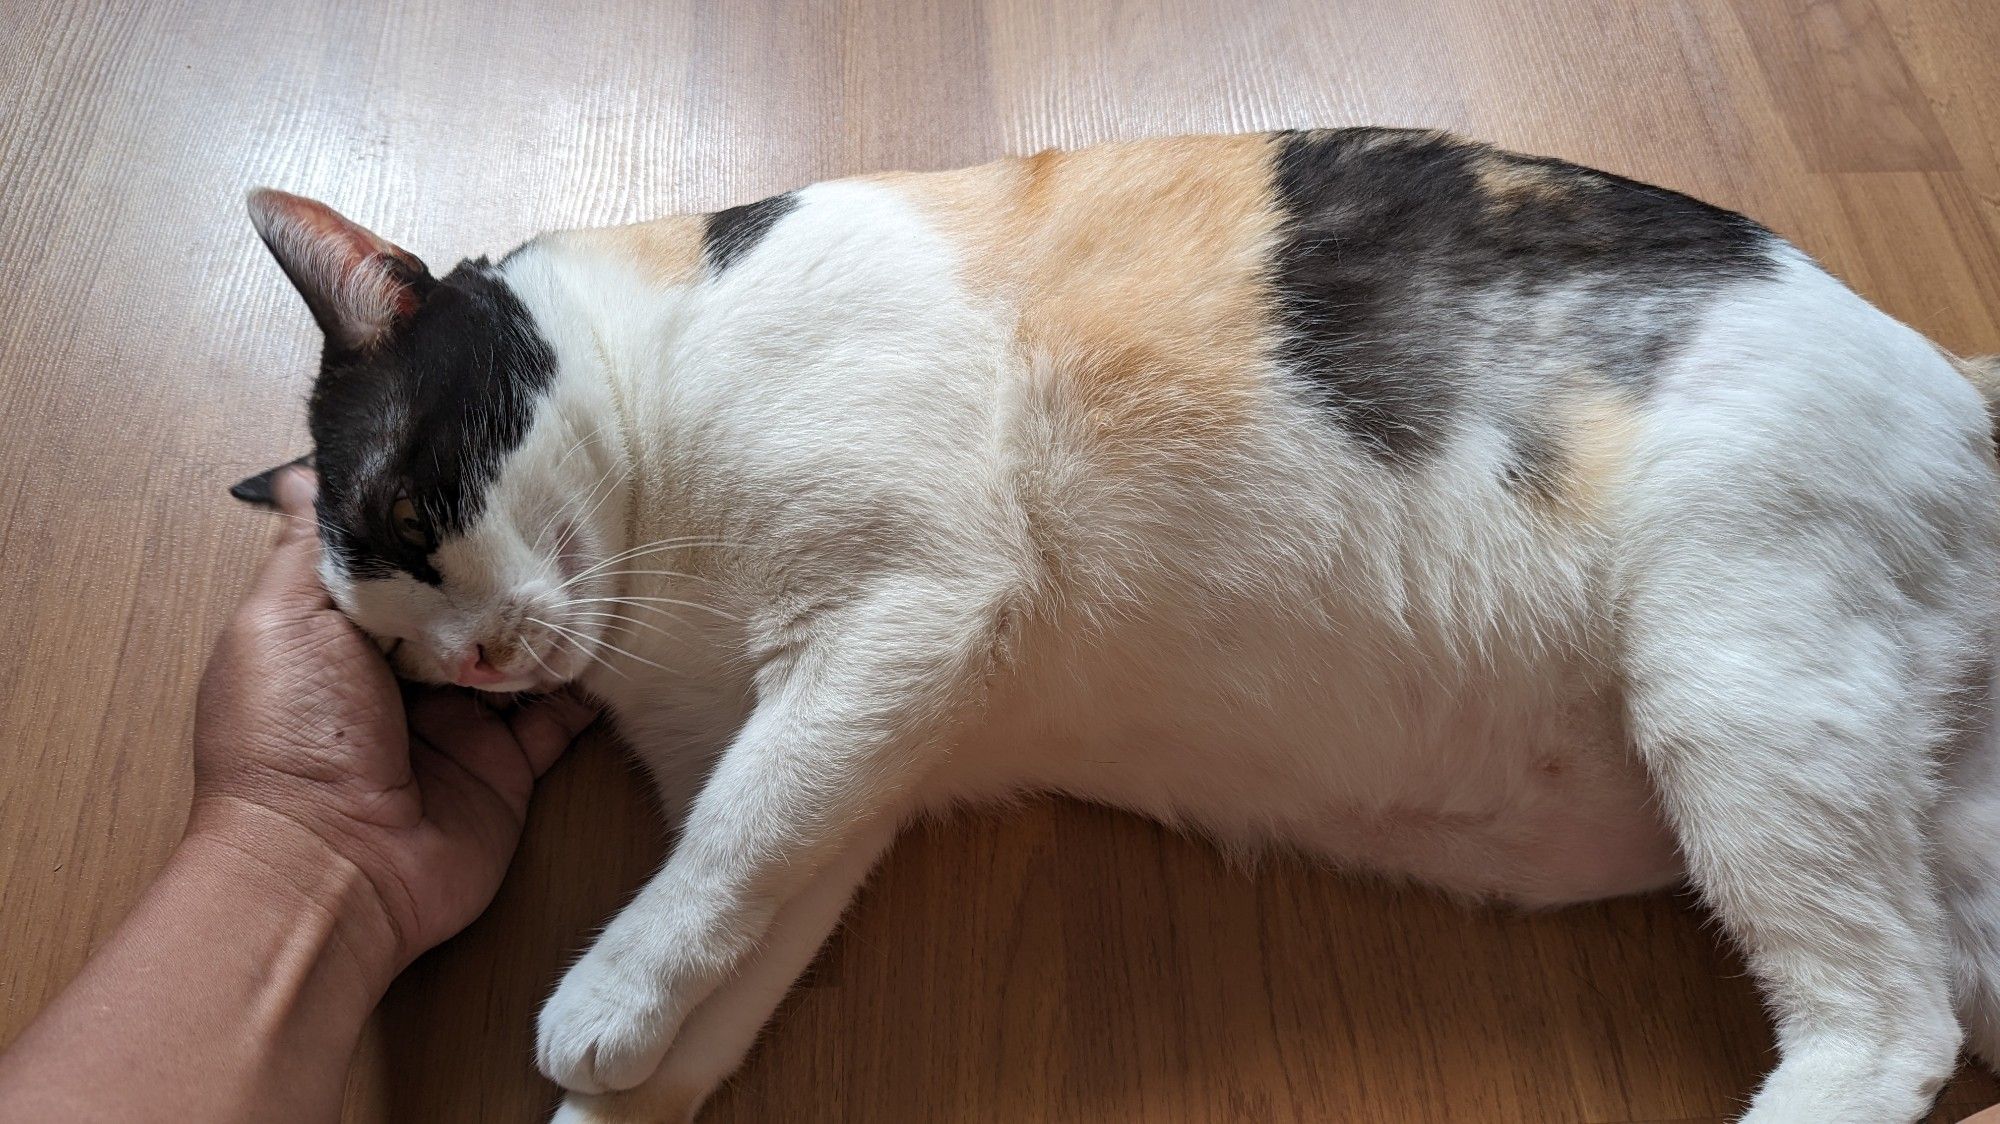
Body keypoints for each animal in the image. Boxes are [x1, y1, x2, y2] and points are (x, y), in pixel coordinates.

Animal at [238, 127, 2000, 1112]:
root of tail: (1961, 391)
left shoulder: (905, 616)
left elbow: (724, 847)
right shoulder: (853, 764)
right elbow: (729, 919)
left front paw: (588, 1012)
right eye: (390, 656)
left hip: (1738, 680)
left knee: (1890, 1027)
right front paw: (622, 1056)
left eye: (413, 518)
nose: (467, 661)